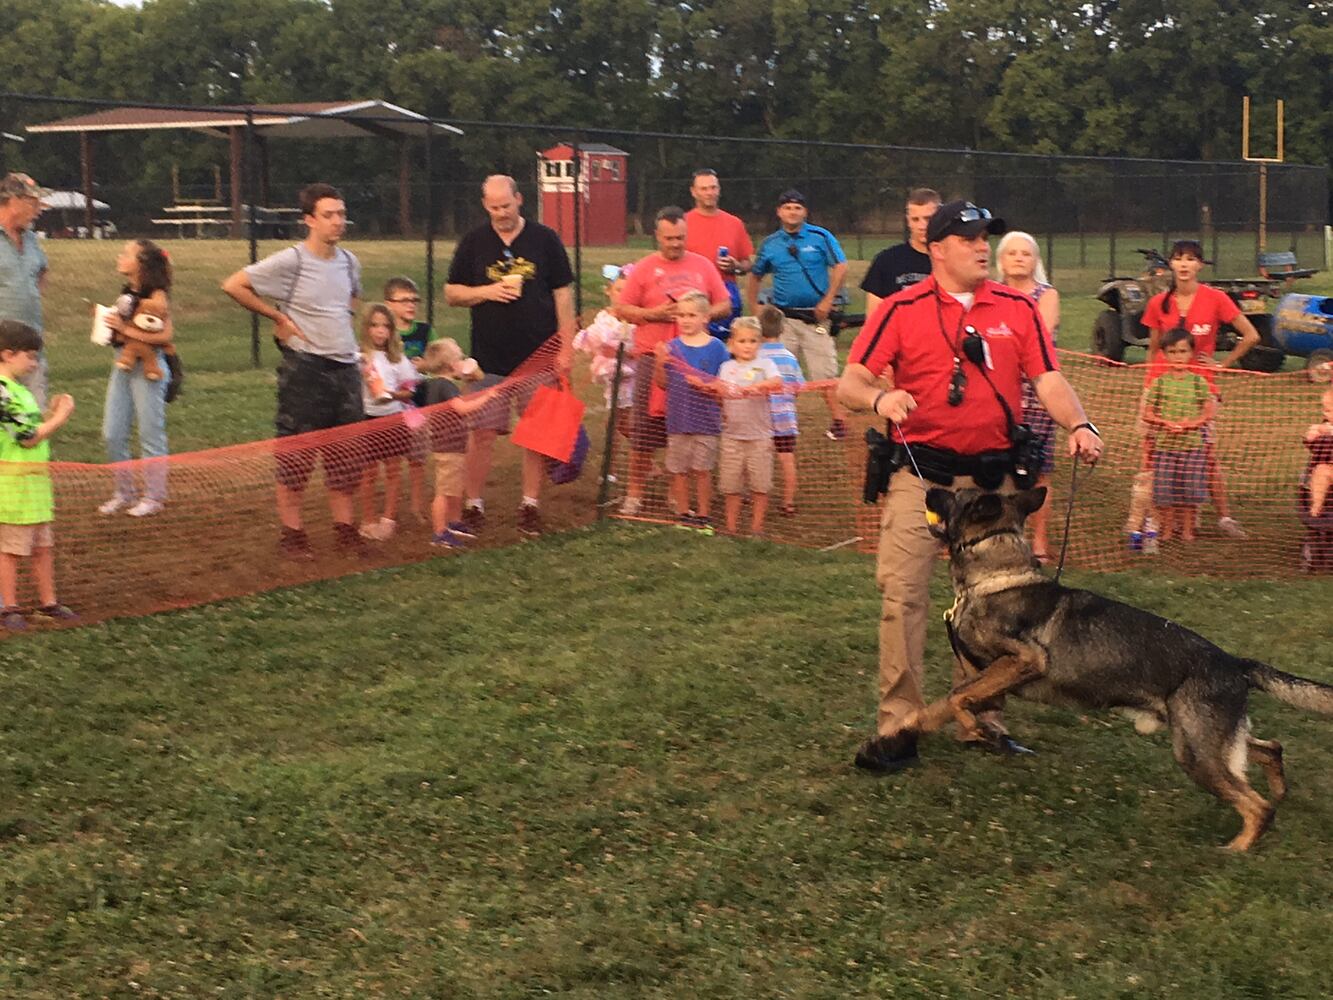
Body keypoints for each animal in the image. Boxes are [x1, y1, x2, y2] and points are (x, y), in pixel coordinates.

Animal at [911, 485, 1333, 853]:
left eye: (955, 495)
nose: (930, 487)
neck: (995, 576)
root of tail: (1235, 663)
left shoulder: (1025, 660)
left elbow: (959, 696)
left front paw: (973, 727)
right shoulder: (990, 672)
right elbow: (958, 698)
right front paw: (949, 727)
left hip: (1196, 752)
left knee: (1257, 805)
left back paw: (1235, 850)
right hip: (1210, 741)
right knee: (1270, 750)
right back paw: (1279, 793)